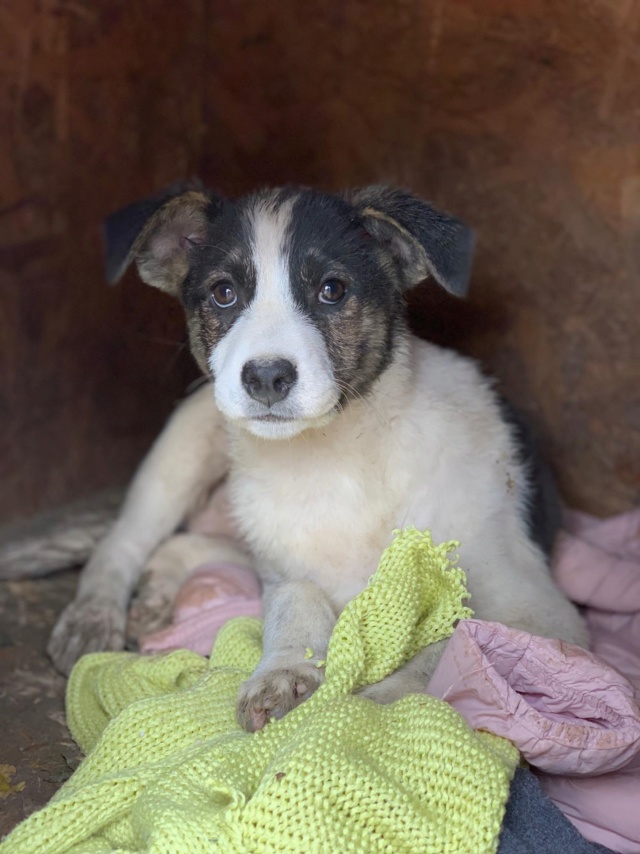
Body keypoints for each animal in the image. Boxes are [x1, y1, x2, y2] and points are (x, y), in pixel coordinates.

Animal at [47, 184, 588, 732]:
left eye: (332, 290)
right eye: (224, 293)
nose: (266, 377)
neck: (337, 456)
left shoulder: (542, 615)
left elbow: (453, 643)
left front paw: (369, 706)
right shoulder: (288, 566)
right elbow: (296, 599)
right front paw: (284, 670)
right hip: (185, 444)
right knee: (123, 543)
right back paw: (94, 615)